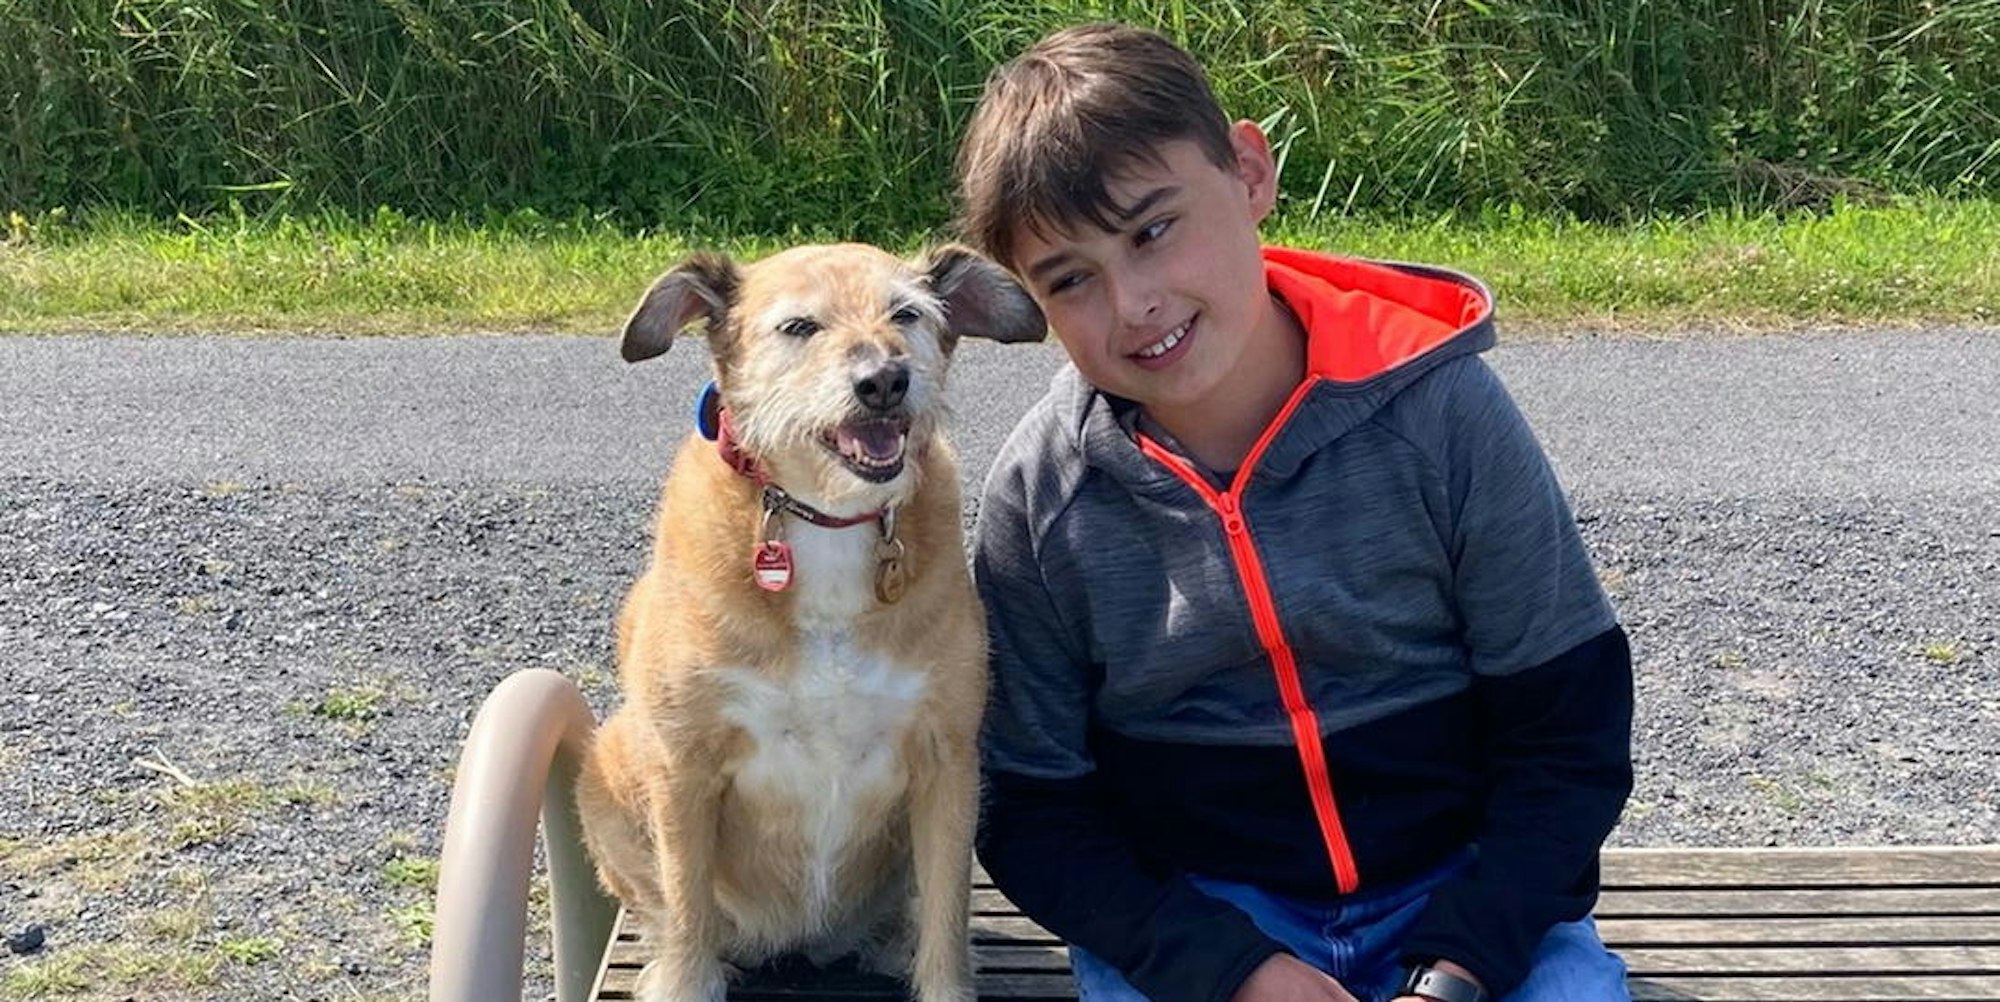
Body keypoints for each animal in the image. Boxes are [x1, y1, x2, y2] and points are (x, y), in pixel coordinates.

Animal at [575, 243, 1044, 1002]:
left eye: (905, 314)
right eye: (799, 326)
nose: (884, 381)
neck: (827, 519)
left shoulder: (947, 762)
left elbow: (946, 916)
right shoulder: (684, 766)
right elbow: (688, 908)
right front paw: (685, 976)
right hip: (606, 764)